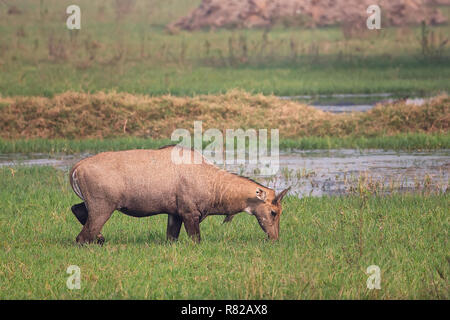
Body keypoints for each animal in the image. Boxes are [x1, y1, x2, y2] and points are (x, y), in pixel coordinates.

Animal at [68, 146, 290, 245]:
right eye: (273, 212)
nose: (274, 237)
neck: (213, 183)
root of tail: (77, 168)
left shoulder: (174, 214)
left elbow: (171, 237)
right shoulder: (190, 213)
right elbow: (196, 240)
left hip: (94, 204)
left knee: (77, 209)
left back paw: (101, 238)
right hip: (103, 207)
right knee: (82, 236)